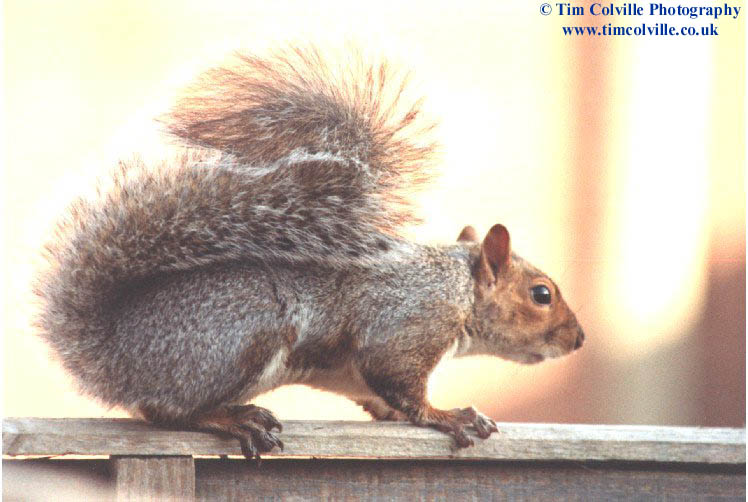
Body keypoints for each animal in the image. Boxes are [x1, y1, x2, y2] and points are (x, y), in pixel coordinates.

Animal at [34, 47, 584, 459]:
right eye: (541, 294)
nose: (578, 339)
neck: (458, 289)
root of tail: (114, 355)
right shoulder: (407, 327)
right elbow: (404, 386)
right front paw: (450, 415)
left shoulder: (354, 373)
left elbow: (378, 396)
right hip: (244, 334)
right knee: (170, 411)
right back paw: (234, 418)